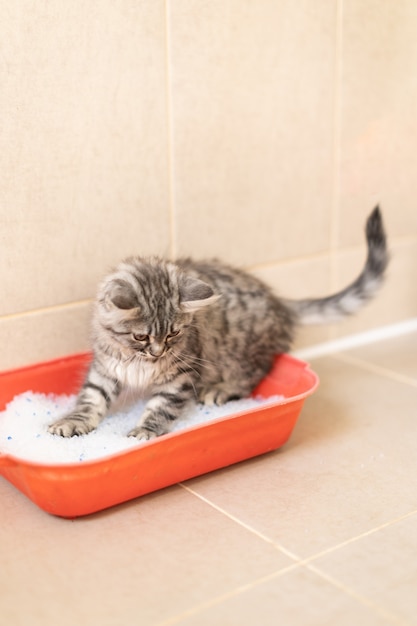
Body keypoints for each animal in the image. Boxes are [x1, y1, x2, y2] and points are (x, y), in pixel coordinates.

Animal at [48, 206, 386, 438]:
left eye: (173, 334)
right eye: (141, 337)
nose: (158, 352)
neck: (138, 362)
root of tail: (279, 302)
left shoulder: (182, 375)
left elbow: (161, 407)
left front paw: (146, 430)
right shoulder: (105, 369)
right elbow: (90, 399)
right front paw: (73, 422)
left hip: (242, 353)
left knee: (253, 374)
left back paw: (221, 389)